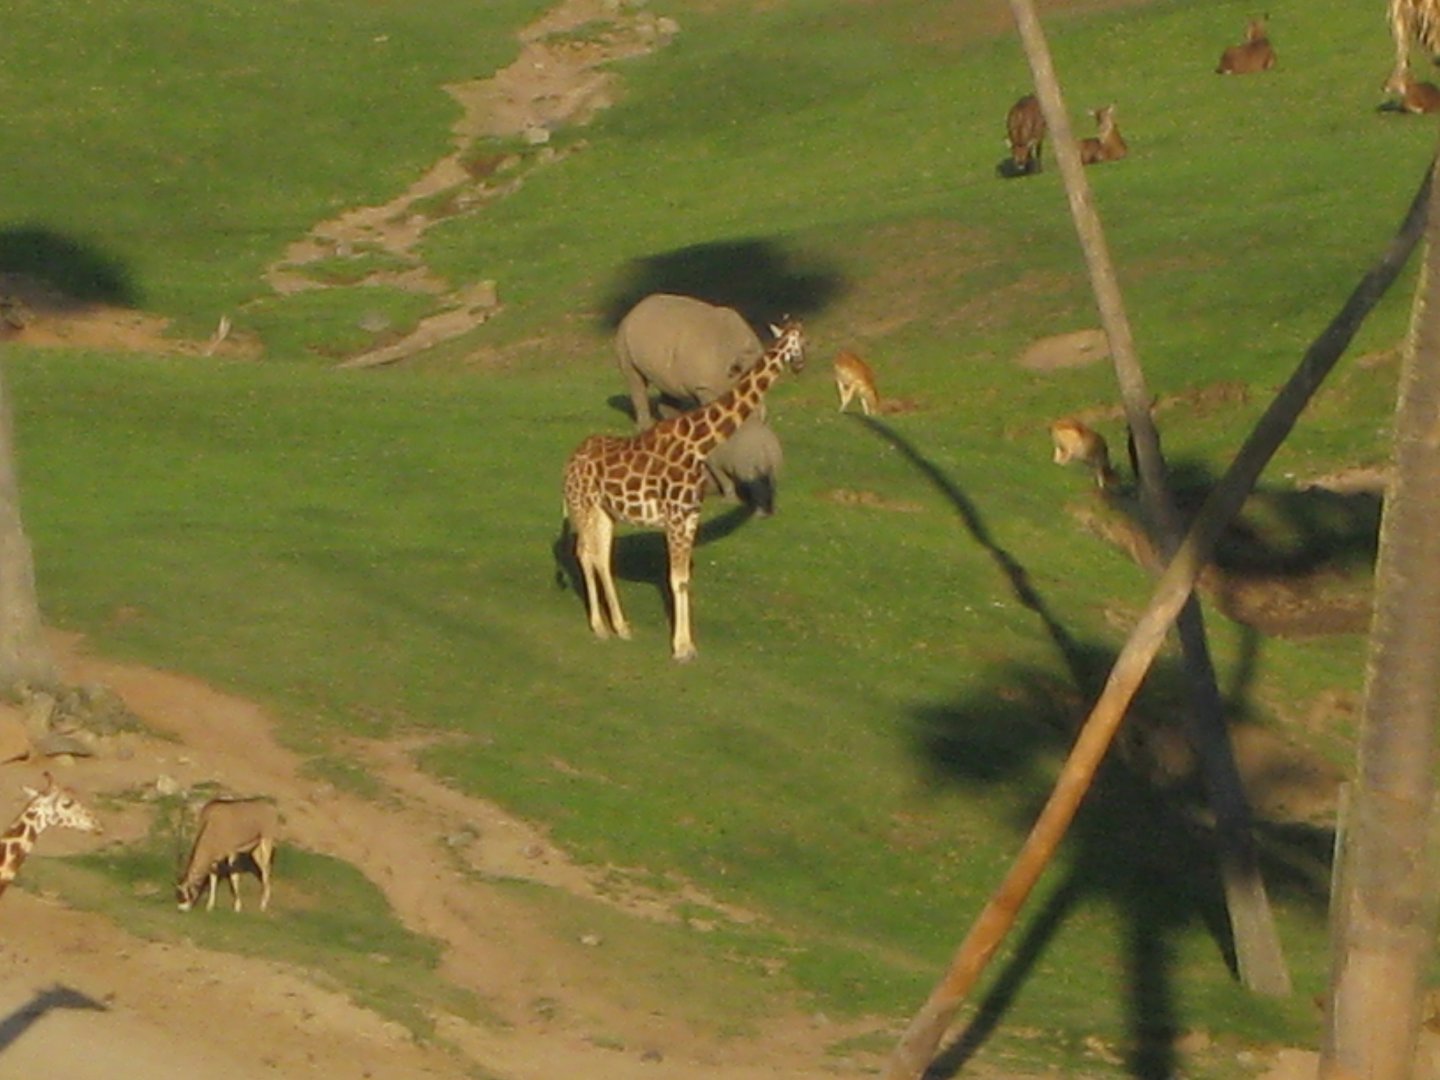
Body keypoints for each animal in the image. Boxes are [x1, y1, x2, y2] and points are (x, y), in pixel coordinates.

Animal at [562, 320, 806, 661]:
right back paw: (599, 627)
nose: (800, 365)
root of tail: (570, 461)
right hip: (581, 505)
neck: (698, 444)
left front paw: (687, 645)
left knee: (600, 556)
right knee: (584, 552)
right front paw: (681, 649)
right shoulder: (675, 518)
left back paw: (621, 627)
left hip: (604, 512)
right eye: (800, 342)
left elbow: (684, 579)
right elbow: (675, 579)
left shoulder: (689, 517)